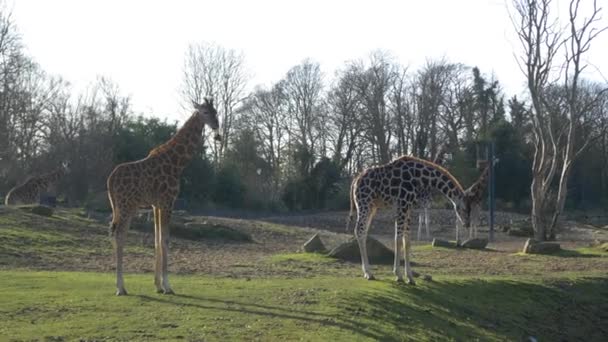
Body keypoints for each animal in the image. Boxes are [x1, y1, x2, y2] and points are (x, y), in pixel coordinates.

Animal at [107, 97, 221, 296]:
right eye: (205, 112)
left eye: (215, 111)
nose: (216, 124)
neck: (178, 163)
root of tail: (110, 180)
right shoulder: (168, 202)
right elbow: (165, 239)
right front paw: (168, 286)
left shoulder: (156, 205)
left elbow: (157, 240)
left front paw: (158, 285)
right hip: (126, 206)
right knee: (119, 235)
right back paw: (121, 288)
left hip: (119, 207)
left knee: (114, 234)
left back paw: (120, 285)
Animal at [344, 155, 472, 284]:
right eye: (464, 208)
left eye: (470, 208)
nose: (467, 224)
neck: (421, 178)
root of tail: (355, 181)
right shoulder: (402, 204)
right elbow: (398, 239)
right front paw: (398, 275)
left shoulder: (409, 208)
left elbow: (407, 241)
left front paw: (410, 277)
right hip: (364, 203)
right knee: (359, 230)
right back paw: (369, 273)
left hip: (372, 207)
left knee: (364, 231)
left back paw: (367, 272)